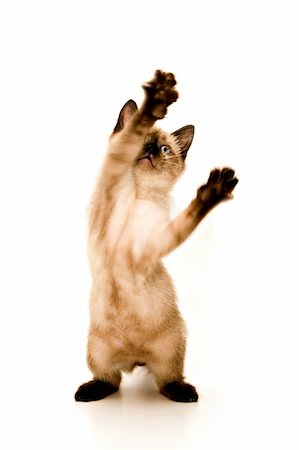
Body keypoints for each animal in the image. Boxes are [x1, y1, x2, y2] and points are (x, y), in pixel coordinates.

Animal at [74, 71, 239, 404]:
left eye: (164, 150)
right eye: (146, 144)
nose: (150, 151)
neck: (137, 193)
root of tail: (135, 357)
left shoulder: (154, 244)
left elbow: (189, 218)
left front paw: (213, 191)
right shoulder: (111, 178)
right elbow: (127, 139)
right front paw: (157, 98)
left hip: (173, 345)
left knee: (166, 379)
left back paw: (183, 393)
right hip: (96, 349)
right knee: (109, 380)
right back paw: (89, 391)